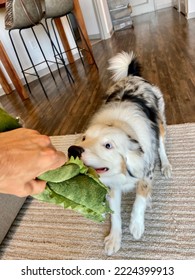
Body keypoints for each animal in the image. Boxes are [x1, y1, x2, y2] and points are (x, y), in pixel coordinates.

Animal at [68, 50, 171, 256]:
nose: (73, 150)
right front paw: (114, 238)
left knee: (161, 144)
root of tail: (132, 76)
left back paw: (166, 165)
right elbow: (115, 215)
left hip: (159, 119)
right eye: (84, 138)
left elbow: (140, 199)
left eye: (108, 145)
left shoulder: (146, 171)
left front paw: (136, 225)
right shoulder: (112, 186)